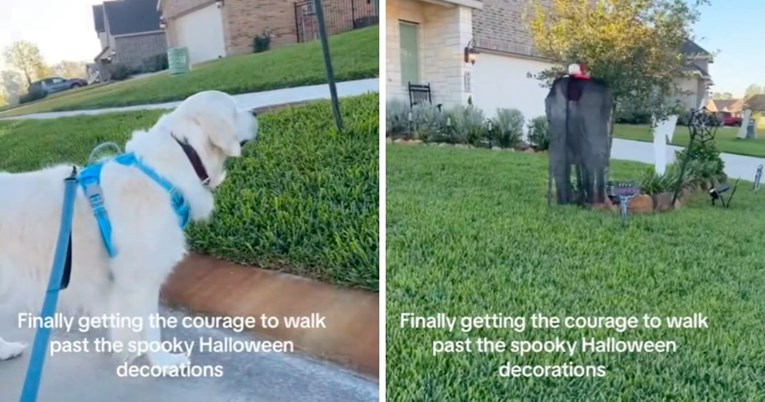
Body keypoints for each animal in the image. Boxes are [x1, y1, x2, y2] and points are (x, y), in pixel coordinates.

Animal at [0, 89, 258, 372]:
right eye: (233, 109)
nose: (256, 113)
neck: (168, 169)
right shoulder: (140, 279)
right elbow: (150, 327)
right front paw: (164, 362)